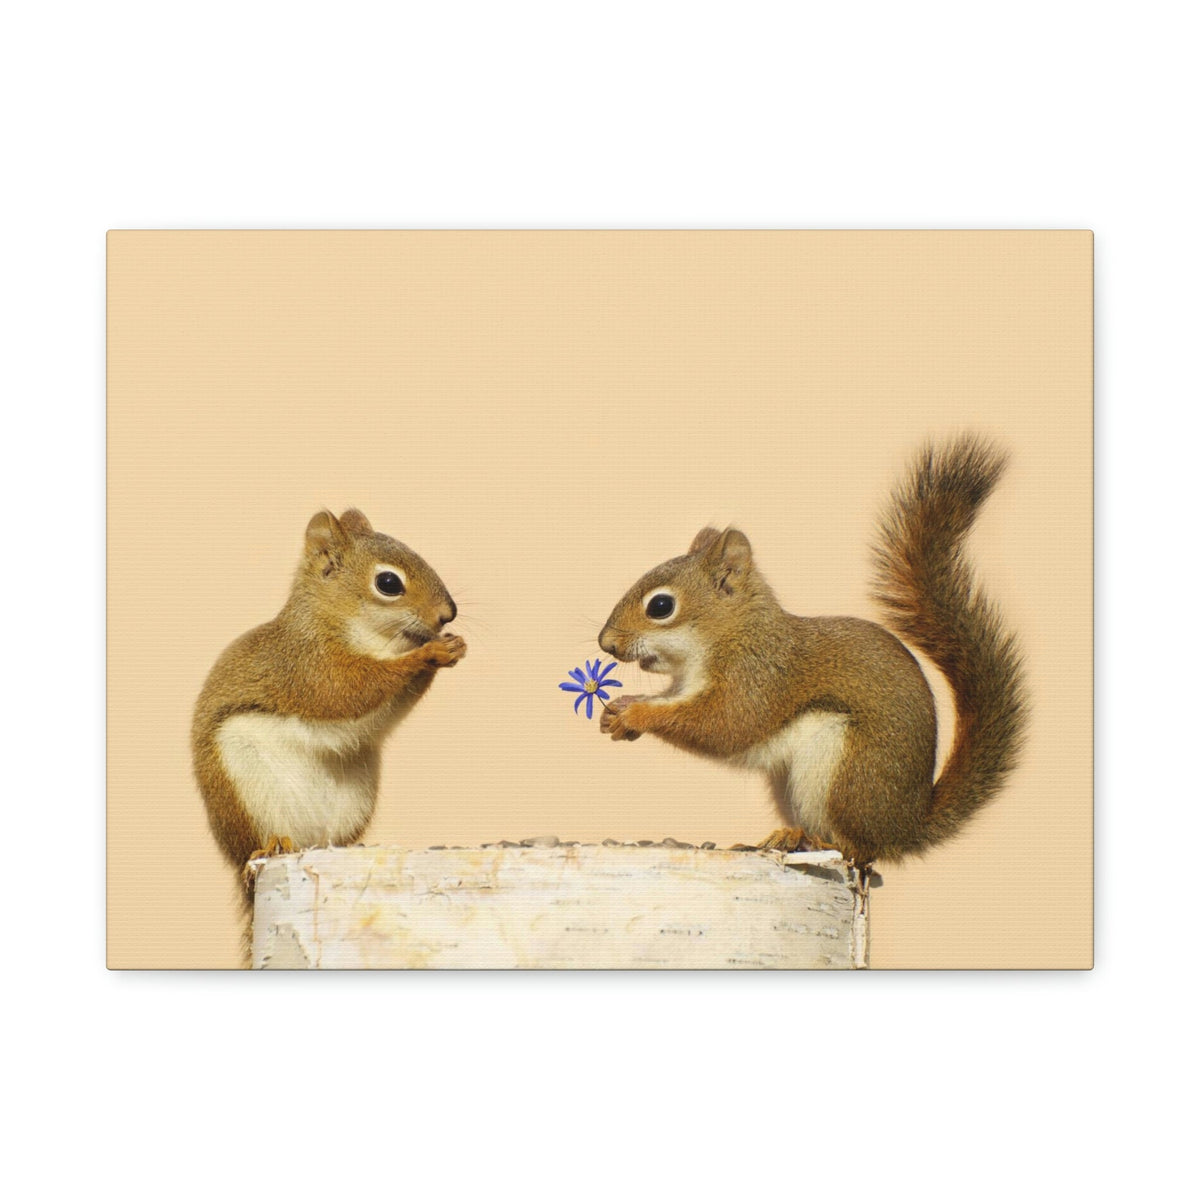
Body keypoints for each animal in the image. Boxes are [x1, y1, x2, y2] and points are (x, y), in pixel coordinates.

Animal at [192, 508, 465, 883]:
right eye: (388, 583)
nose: (447, 614)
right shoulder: (308, 665)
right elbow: (348, 691)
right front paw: (428, 653)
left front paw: (453, 646)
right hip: (245, 788)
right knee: (258, 842)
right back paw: (273, 845)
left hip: (355, 800)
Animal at [597, 435, 1028, 865]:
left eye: (661, 606)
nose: (606, 644)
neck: (730, 635)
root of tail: (905, 827)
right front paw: (617, 713)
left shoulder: (757, 678)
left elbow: (724, 724)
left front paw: (635, 714)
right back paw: (789, 836)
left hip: (844, 772)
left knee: (858, 849)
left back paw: (816, 842)